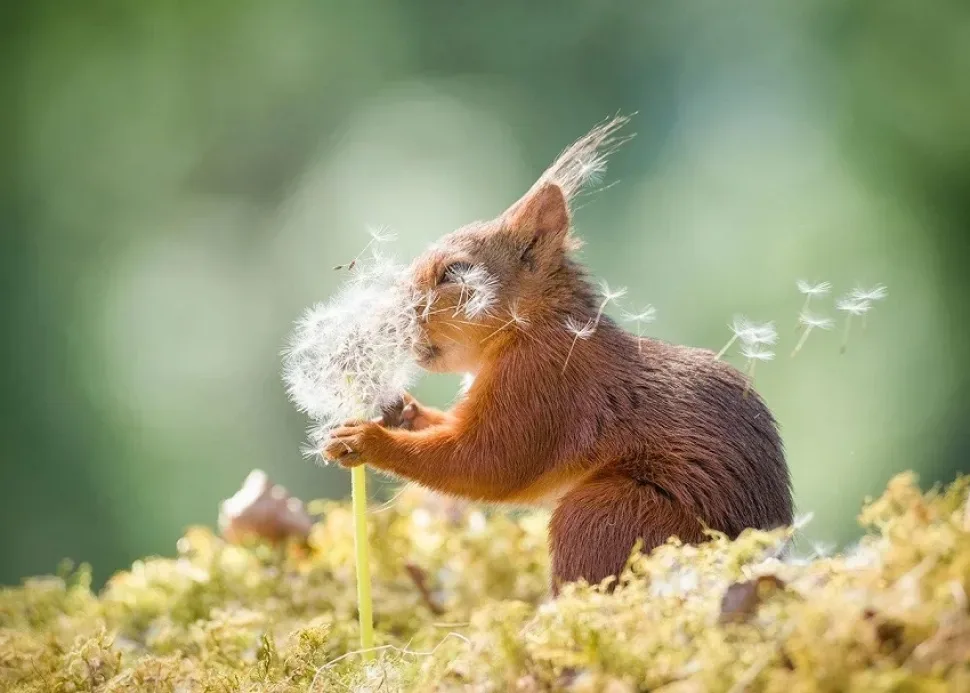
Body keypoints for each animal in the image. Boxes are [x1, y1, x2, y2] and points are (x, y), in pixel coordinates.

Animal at [323, 116, 793, 593]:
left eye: (455, 272)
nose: (389, 318)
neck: (531, 328)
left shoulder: (544, 383)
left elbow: (487, 462)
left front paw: (367, 440)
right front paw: (402, 411)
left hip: (607, 514)